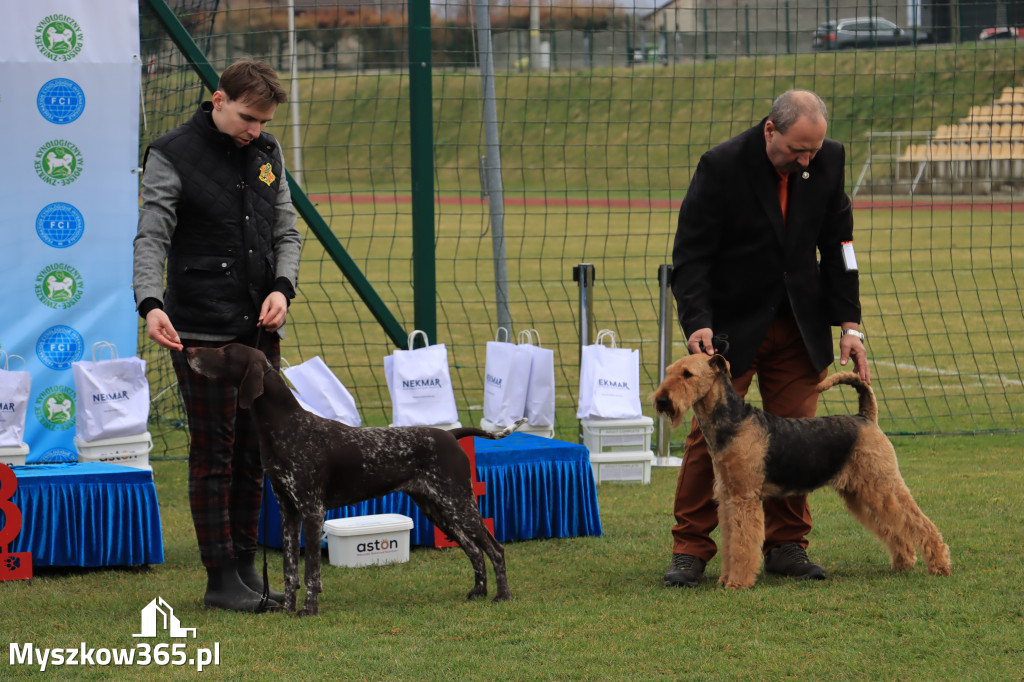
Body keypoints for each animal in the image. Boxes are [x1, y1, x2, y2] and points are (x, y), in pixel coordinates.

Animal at [186, 342, 520, 614]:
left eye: (225, 351)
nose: (189, 350)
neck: (285, 425)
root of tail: (451, 435)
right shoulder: (287, 510)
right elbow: (290, 568)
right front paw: (288, 609)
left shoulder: (312, 510)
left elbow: (311, 572)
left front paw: (308, 609)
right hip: (437, 509)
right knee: (474, 549)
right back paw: (478, 591)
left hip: (458, 503)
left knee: (494, 548)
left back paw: (502, 596)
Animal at [651, 352, 954, 585]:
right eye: (669, 372)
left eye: (688, 374)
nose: (662, 400)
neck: (733, 423)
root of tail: (866, 417)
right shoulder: (728, 499)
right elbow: (730, 542)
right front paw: (726, 578)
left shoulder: (744, 500)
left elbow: (742, 545)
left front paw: (737, 582)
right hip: (861, 493)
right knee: (894, 529)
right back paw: (903, 562)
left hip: (882, 485)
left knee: (919, 523)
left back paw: (940, 565)